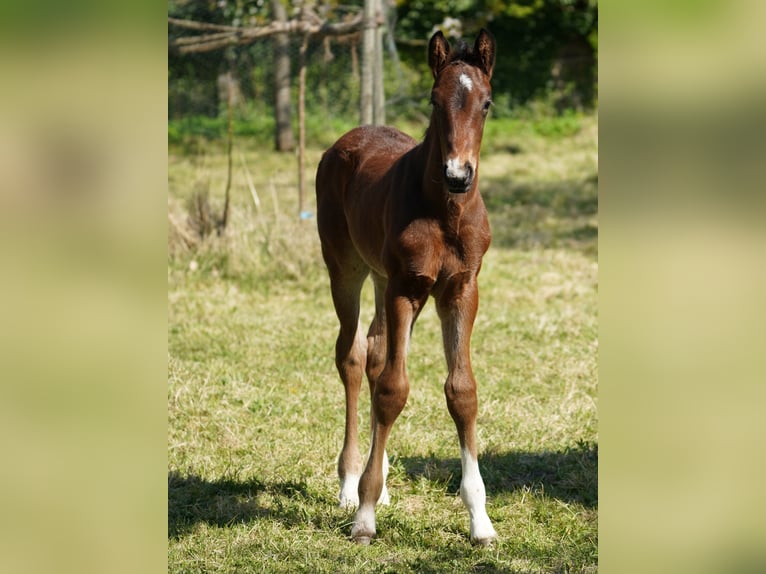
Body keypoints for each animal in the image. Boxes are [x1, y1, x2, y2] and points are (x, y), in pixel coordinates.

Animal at [316, 29, 500, 548]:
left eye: (486, 103)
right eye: (435, 101)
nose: (458, 175)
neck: (445, 212)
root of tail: (349, 137)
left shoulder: (460, 290)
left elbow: (462, 391)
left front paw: (480, 521)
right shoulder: (405, 288)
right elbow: (393, 389)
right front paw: (364, 517)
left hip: (382, 279)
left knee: (377, 351)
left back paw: (374, 481)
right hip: (347, 268)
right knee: (353, 356)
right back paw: (350, 483)